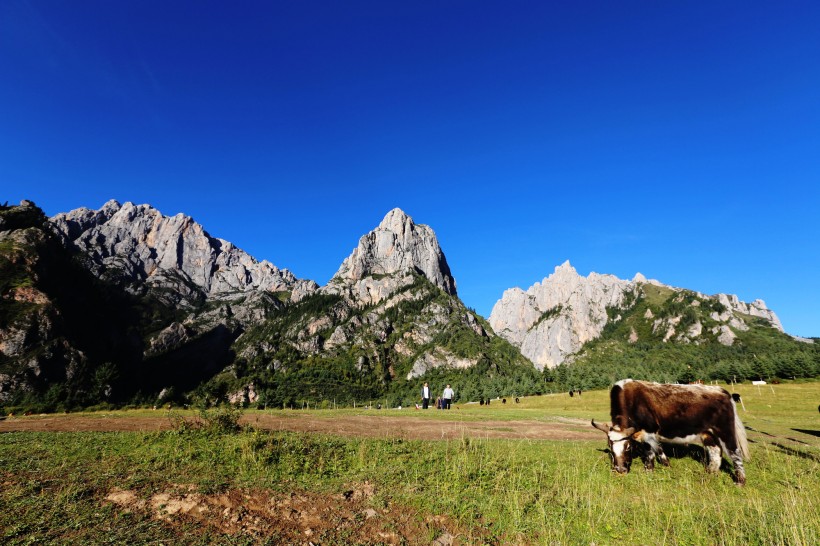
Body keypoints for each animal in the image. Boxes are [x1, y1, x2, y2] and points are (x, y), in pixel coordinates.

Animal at [588, 378, 748, 484]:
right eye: (610, 447)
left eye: (628, 447)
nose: (620, 470)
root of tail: (723, 392)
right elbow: (659, 449)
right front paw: (667, 465)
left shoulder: (649, 432)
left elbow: (650, 452)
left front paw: (649, 471)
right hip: (708, 433)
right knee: (715, 451)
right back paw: (709, 474)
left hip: (725, 430)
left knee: (734, 452)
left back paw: (740, 481)